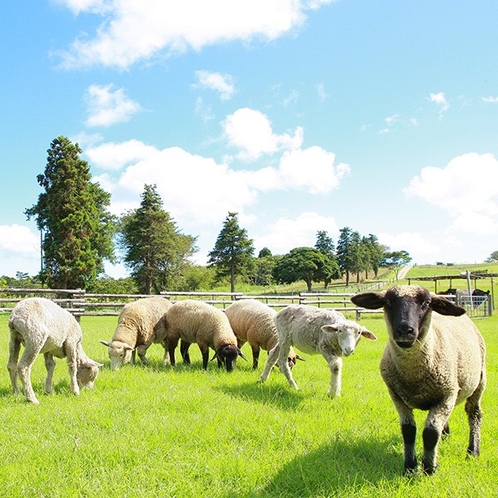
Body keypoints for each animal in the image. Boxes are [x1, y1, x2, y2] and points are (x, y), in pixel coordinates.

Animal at [350, 284, 486, 474]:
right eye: (388, 301)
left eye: (426, 303)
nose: (404, 331)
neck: (414, 376)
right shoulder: (397, 396)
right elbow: (408, 431)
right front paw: (410, 467)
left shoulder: (447, 394)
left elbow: (430, 433)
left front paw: (429, 468)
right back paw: (446, 435)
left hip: (479, 381)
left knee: (474, 414)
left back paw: (473, 451)